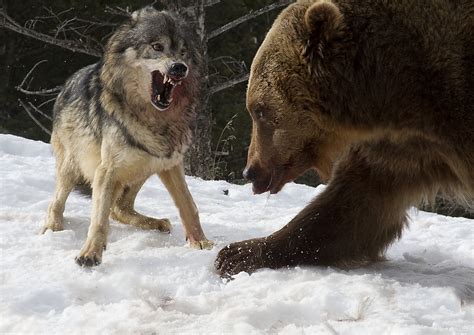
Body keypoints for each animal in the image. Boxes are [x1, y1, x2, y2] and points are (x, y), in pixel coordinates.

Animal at [42, 5, 213, 268]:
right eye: (157, 46)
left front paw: (201, 241)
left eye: (183, 52)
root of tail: (66, 85)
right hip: (75, 166)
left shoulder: (170, 163)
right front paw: (90, 253)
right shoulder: (106, 170)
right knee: (57, 202)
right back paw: (53, 228)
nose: (179, 68)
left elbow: (188, 204)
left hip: (144, 166)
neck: (154, 120)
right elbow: (99, 219)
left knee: (119, 208)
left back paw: (157, 223)